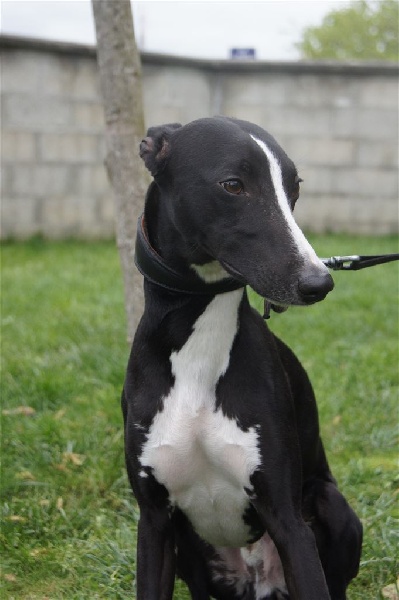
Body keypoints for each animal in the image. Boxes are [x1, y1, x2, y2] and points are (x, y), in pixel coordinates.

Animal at [123, 118, 364, 600]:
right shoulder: (153, 524)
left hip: (332, 508)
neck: (197, 348)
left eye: (294, 187)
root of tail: (258, 582)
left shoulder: (289, 524)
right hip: (191, 554)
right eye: (233, 185)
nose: (318, 282)